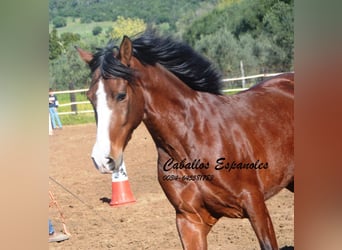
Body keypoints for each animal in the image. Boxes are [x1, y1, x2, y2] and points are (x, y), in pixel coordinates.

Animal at [77, 31, 294, 250]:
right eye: (90, 97)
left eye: (121, 95)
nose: (102, 159)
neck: (192, 143)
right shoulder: (190, 221)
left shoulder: (255, 205)